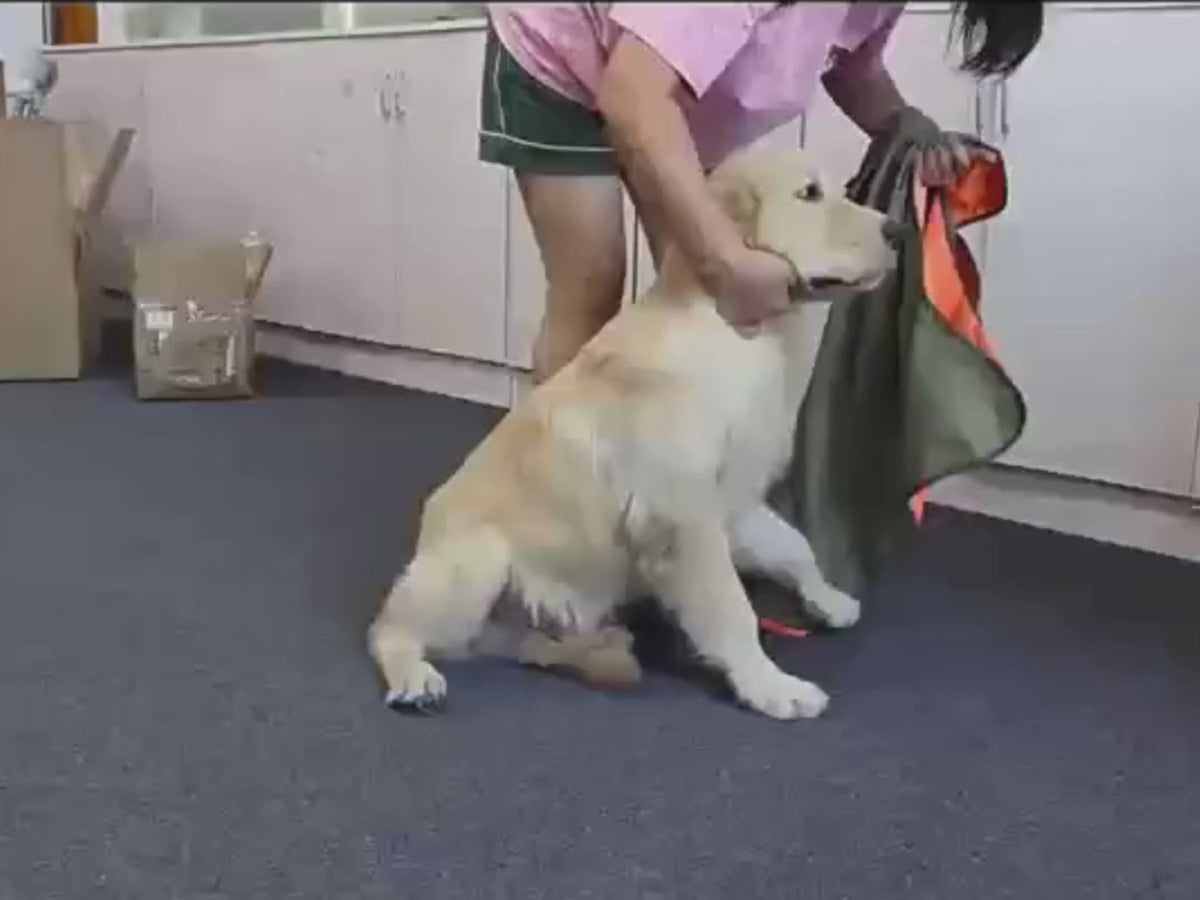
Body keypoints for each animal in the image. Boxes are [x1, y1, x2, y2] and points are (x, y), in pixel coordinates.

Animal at [368, 147, 898, 720]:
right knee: (389, 629)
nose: (897, 229)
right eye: (809, 193)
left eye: (841, 187)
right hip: (477, 560)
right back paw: (415, 677)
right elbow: (732, 609)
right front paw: (772, 687)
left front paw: (828, 599)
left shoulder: (732, 500)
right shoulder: (683, 516)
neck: (739, 332)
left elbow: (794, 546)